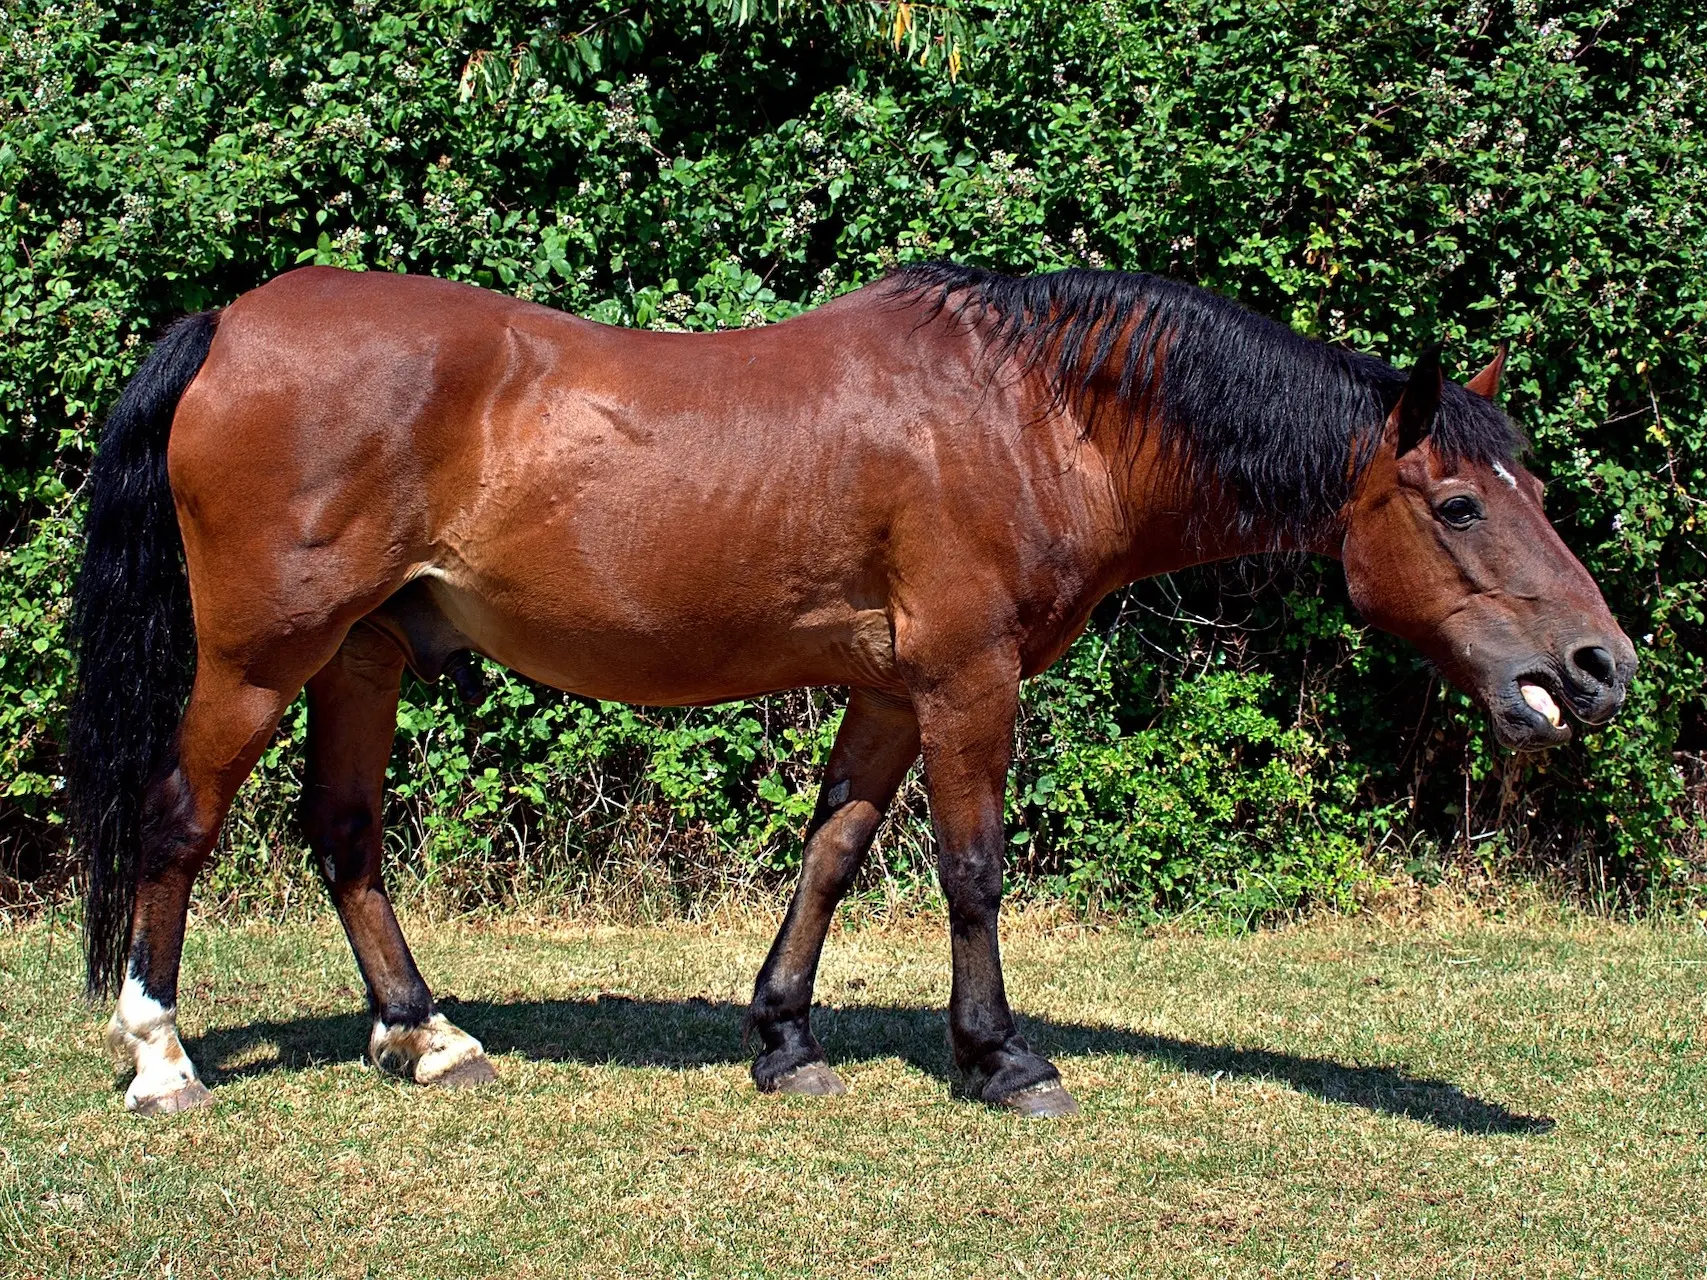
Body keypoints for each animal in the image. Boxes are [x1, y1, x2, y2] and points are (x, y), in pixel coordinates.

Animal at [66, 266, 1631, 1119]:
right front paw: (1000, 1058)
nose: (1598, 666)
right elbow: (970, 866)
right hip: (260, 660)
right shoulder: (965, 677)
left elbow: (830, 854)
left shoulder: (888, 691)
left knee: (344, 837)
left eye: (1536, 491)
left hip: (366, 655)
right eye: (1455, 504)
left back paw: (427, 1036)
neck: (1033, 413)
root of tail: (234, 322)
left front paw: (783, 1040)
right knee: (179, 820)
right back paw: (161, 1056)